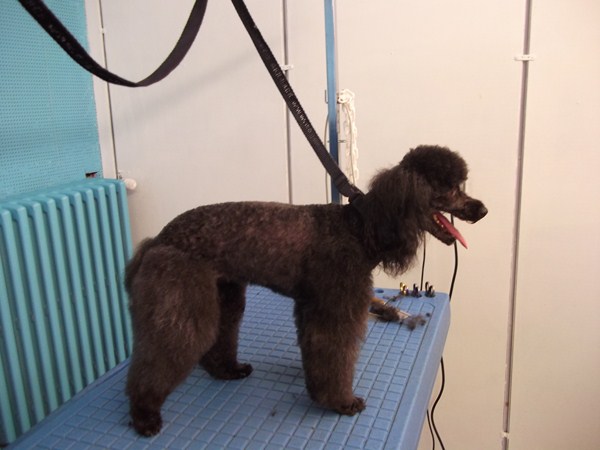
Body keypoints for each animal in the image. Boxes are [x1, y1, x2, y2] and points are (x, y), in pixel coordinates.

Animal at [124, 145, 487, 436]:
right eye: (449, 188)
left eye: (460, 185)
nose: (482, 209)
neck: (359, 229)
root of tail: (160, 238)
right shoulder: (336, 307)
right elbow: (336, 354)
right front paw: (340, 402)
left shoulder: (314, 306)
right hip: (181, 300)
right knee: (160, 356)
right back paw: (144, 415)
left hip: (225, 294)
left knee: (218, 338)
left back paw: (227, 370)